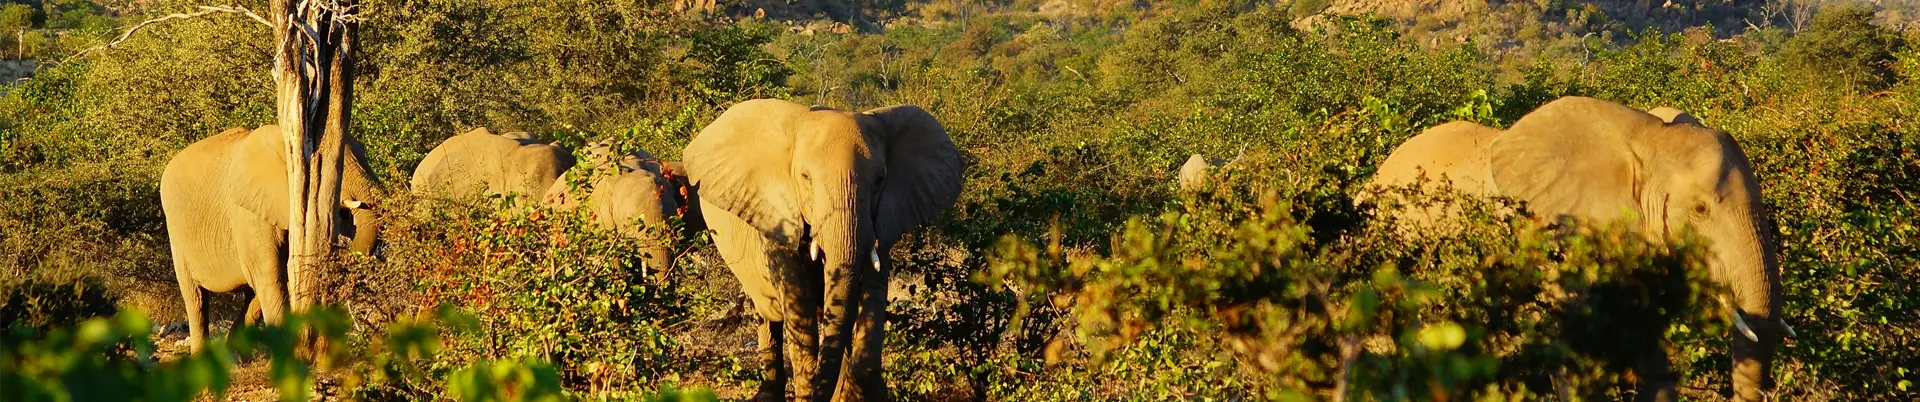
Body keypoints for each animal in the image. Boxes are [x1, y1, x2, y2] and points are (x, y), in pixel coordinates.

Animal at [682, 99, 964, 402]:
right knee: (769, 316)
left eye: (879, 180)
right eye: (805, 177)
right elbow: (800, 308)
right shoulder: (776, 216)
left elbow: (872, 295)